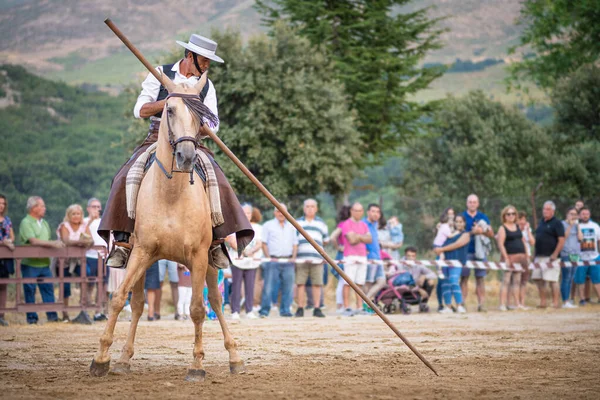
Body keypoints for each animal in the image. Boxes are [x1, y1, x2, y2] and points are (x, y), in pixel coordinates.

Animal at [89, 71, 244, 382]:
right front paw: (101, 359)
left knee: (216, 302)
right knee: (138, 304)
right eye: (169, 110)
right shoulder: (142, 252)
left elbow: (197, 309)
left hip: (209, 263)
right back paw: (124, 358)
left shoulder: (197, 257)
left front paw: (196, 366)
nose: (186, 156)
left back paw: (234, 356)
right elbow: (119, 298)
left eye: (201, 115)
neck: (171, 194)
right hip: (142, 260)